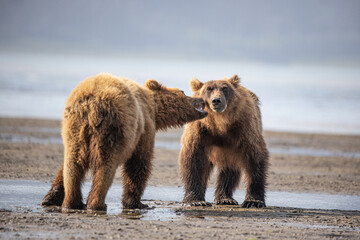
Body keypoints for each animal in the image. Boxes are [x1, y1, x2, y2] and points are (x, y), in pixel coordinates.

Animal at [40, 72, 207, 211]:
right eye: (183, 91)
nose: (202, 100)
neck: (154, 108)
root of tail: (92, 105)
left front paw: (51, 197)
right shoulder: (144, 128)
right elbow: (138, 164)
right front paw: (137, 203)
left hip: (74, 129)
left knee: (72, 164)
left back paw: (72, 203)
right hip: (113, 129)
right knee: (105, 166)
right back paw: (97, 204)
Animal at [179, 74, 268, 208]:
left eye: (225, 88)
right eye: (209, 89)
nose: (216, 100)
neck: (219, 123)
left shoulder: (244, 127)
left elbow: (255, 157)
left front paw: (253, 201)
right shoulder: (199, 130)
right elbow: (192, 158)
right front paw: (195, 200)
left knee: (230, 168)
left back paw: (225, 198)